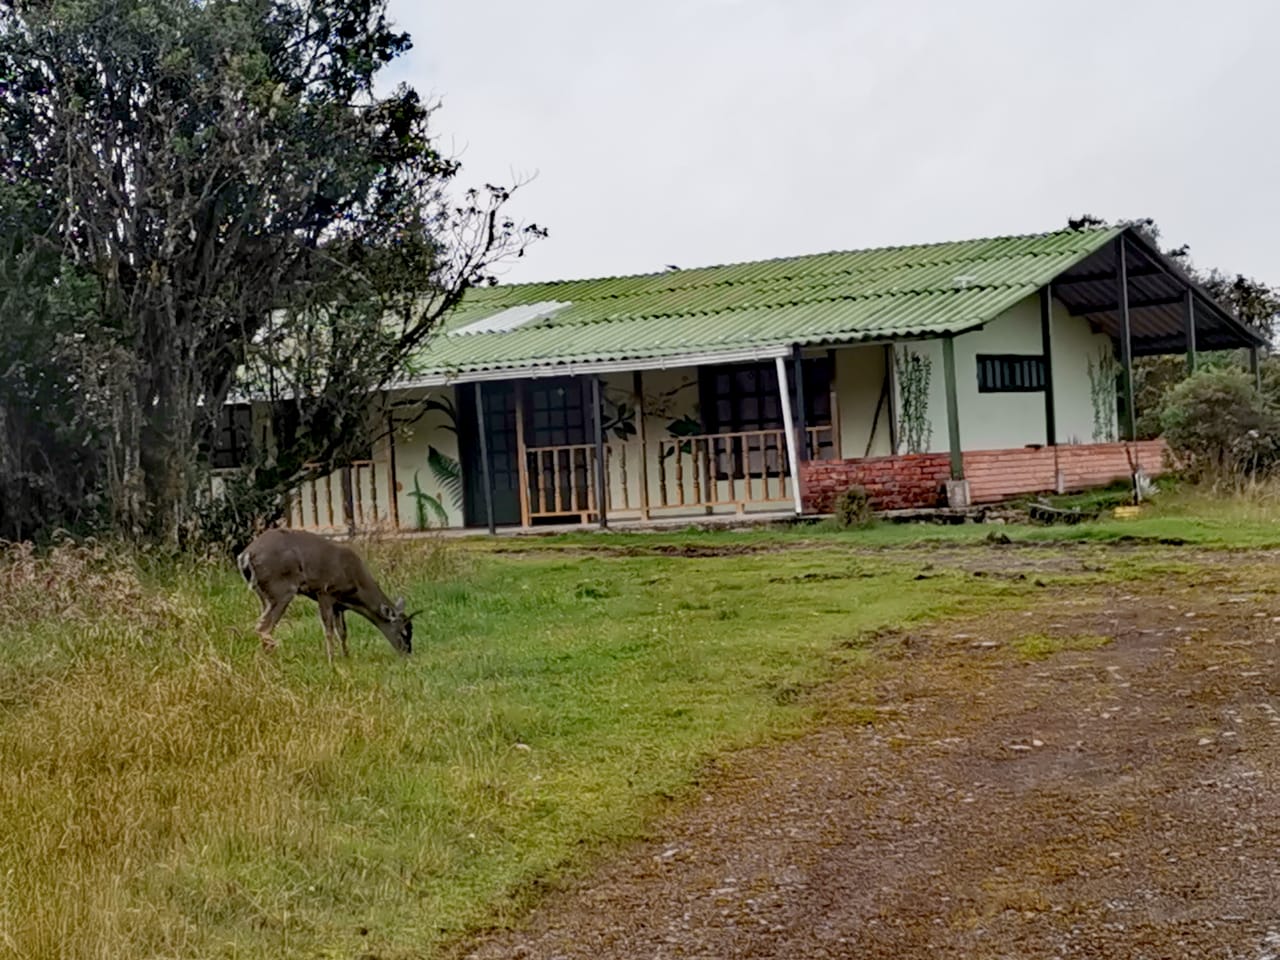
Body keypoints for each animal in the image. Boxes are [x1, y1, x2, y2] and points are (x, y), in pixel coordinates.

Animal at [238, 529, 417, 665]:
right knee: (263, 627)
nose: (407, 653)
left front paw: (346, 657)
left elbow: (342, 632)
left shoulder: (339, 605)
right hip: (281, 589)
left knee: (265, 625)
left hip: (264, 594)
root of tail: (246, 554)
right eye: (403, 633)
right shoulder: (324, 592)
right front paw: (331, 661)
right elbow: (329, 630)